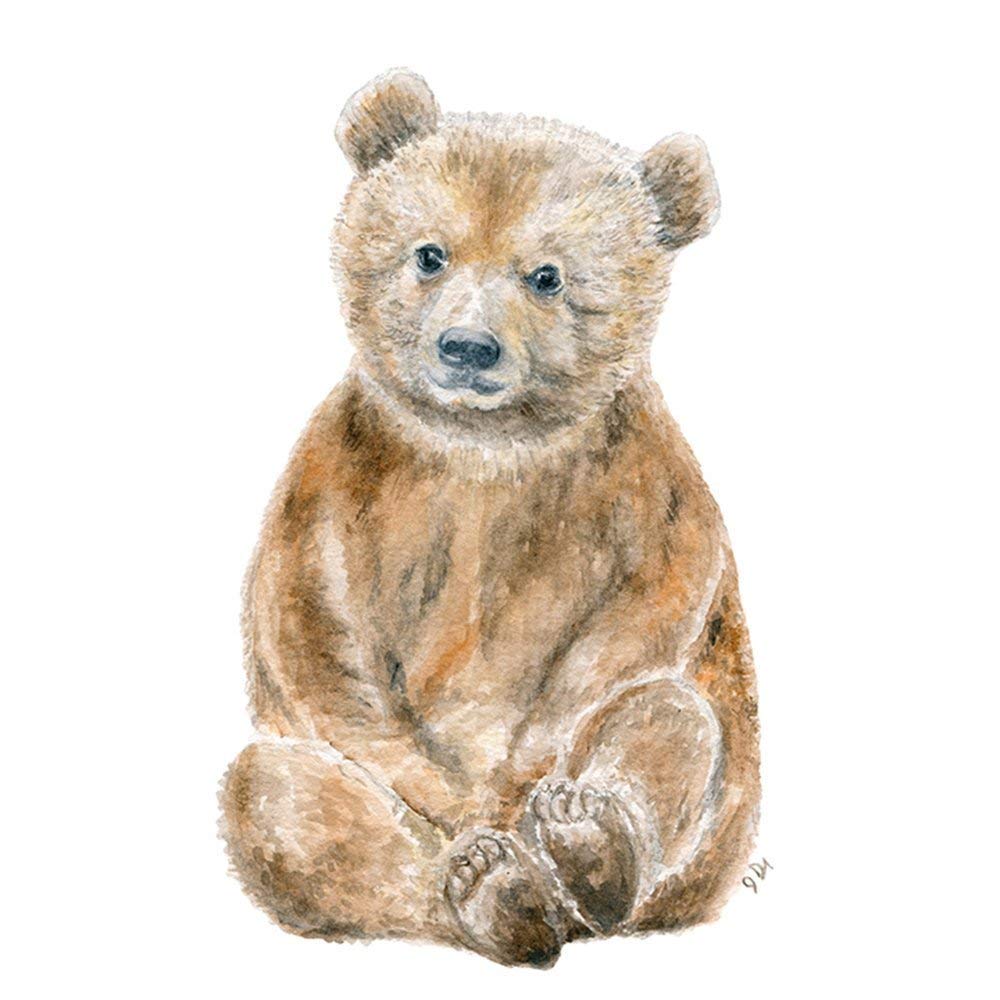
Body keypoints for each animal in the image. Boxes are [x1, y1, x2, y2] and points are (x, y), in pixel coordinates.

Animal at [220, 68, 760, 968]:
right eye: (429, 254)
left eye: (547, 275)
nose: (467, 347)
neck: (486, 444)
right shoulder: (341, 482)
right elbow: (321, 648)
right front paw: (471, 815)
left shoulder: (636, 477)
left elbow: (641, 619)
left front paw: (533, 790)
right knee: (282, 802)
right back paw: (494, 888)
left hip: (716, 833)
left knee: (671, 719)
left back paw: (587, 844)